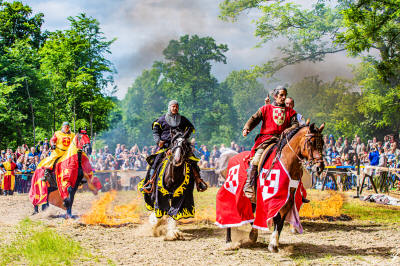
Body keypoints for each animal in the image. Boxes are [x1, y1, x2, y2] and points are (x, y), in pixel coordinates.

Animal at [223, 122, 324, 251]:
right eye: (311, 142)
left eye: (323, 143)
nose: (319, 167)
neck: (287, 161)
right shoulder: (272, 197)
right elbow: (276, 217)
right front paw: (272, 244)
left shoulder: (288, 199)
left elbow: (280, 221)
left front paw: (274, 242)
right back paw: (229, 241)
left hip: (251, 201)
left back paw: (253, 233)